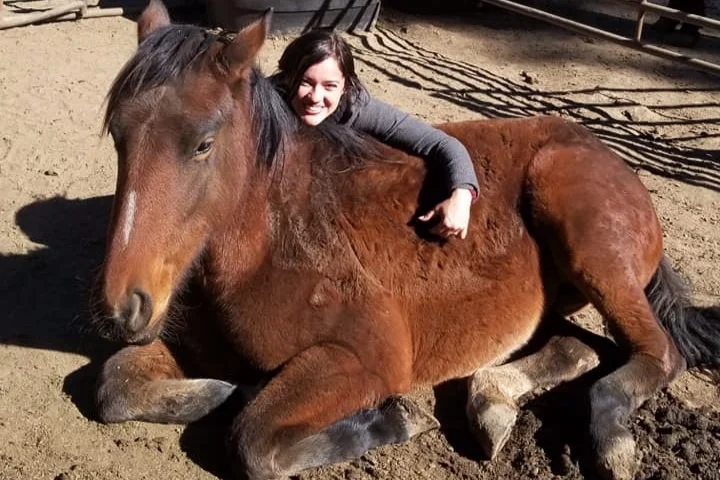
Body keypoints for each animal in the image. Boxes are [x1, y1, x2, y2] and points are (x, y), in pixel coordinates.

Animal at [93, 1, 720, 479]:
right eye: (119, 136)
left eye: (203, 143)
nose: (122, 307)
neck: (270, 242)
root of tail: (602, 151)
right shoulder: (197, 343)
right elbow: (116, 385)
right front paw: (227, 388)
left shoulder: (366, 358)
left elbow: (253, 442)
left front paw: (392, 419)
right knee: (581, 346)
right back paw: (491, 402)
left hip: (588, 242)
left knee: (658, 352)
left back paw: (610, 440)